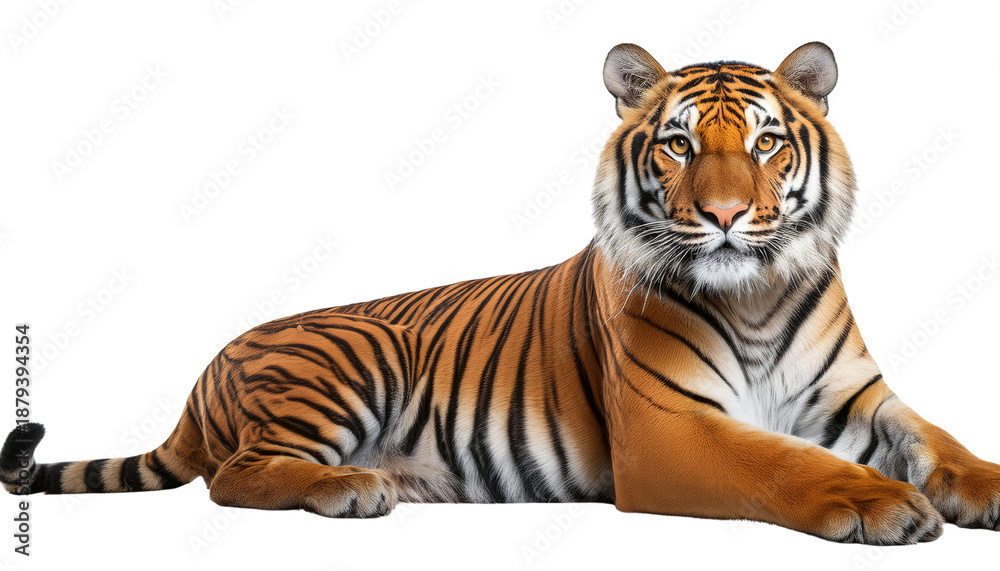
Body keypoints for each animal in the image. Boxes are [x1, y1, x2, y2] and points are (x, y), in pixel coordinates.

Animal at [3, 41, 999, 545]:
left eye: (765, 143)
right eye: (678, 144)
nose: (721, 216)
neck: (750, 296)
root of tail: (208, 363)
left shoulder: (857, 398)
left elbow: (939, 438)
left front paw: (979, 488)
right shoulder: (668, 428)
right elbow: (782, 463)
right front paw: (881, 504)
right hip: (354, 355)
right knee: (232, 475)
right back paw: (352, 488)